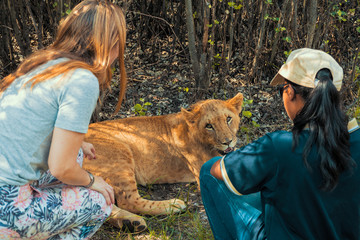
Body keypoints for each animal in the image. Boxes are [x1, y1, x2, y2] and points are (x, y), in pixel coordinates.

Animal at [83, 92, 243, 232]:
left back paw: (129, 223)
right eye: (209, 126)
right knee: (128, 201)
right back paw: (173, 206)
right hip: (120, 155)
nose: (227, 142)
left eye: (228, 119)